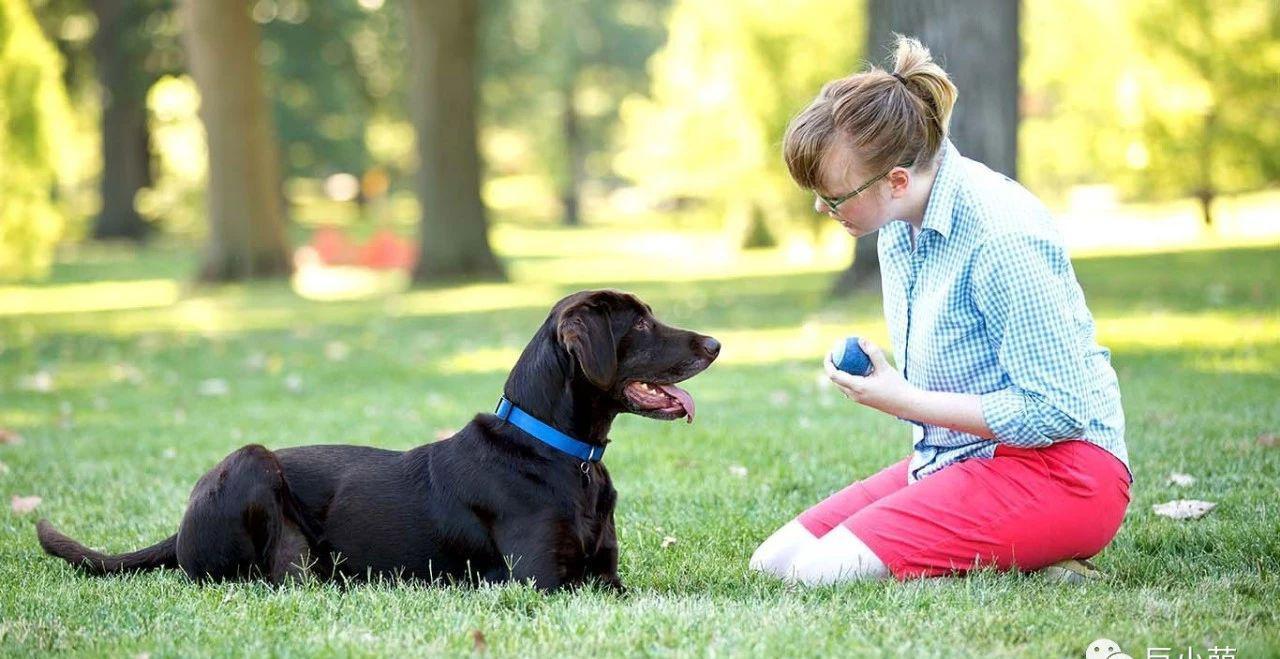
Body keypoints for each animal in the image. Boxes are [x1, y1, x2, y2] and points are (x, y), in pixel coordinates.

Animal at [35, 291, 721, 591]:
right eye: (640, 324)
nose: (716, 343)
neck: (560, 453)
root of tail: (177, 529)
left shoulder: (603, 572)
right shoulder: (545, 581)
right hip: (253, 466)